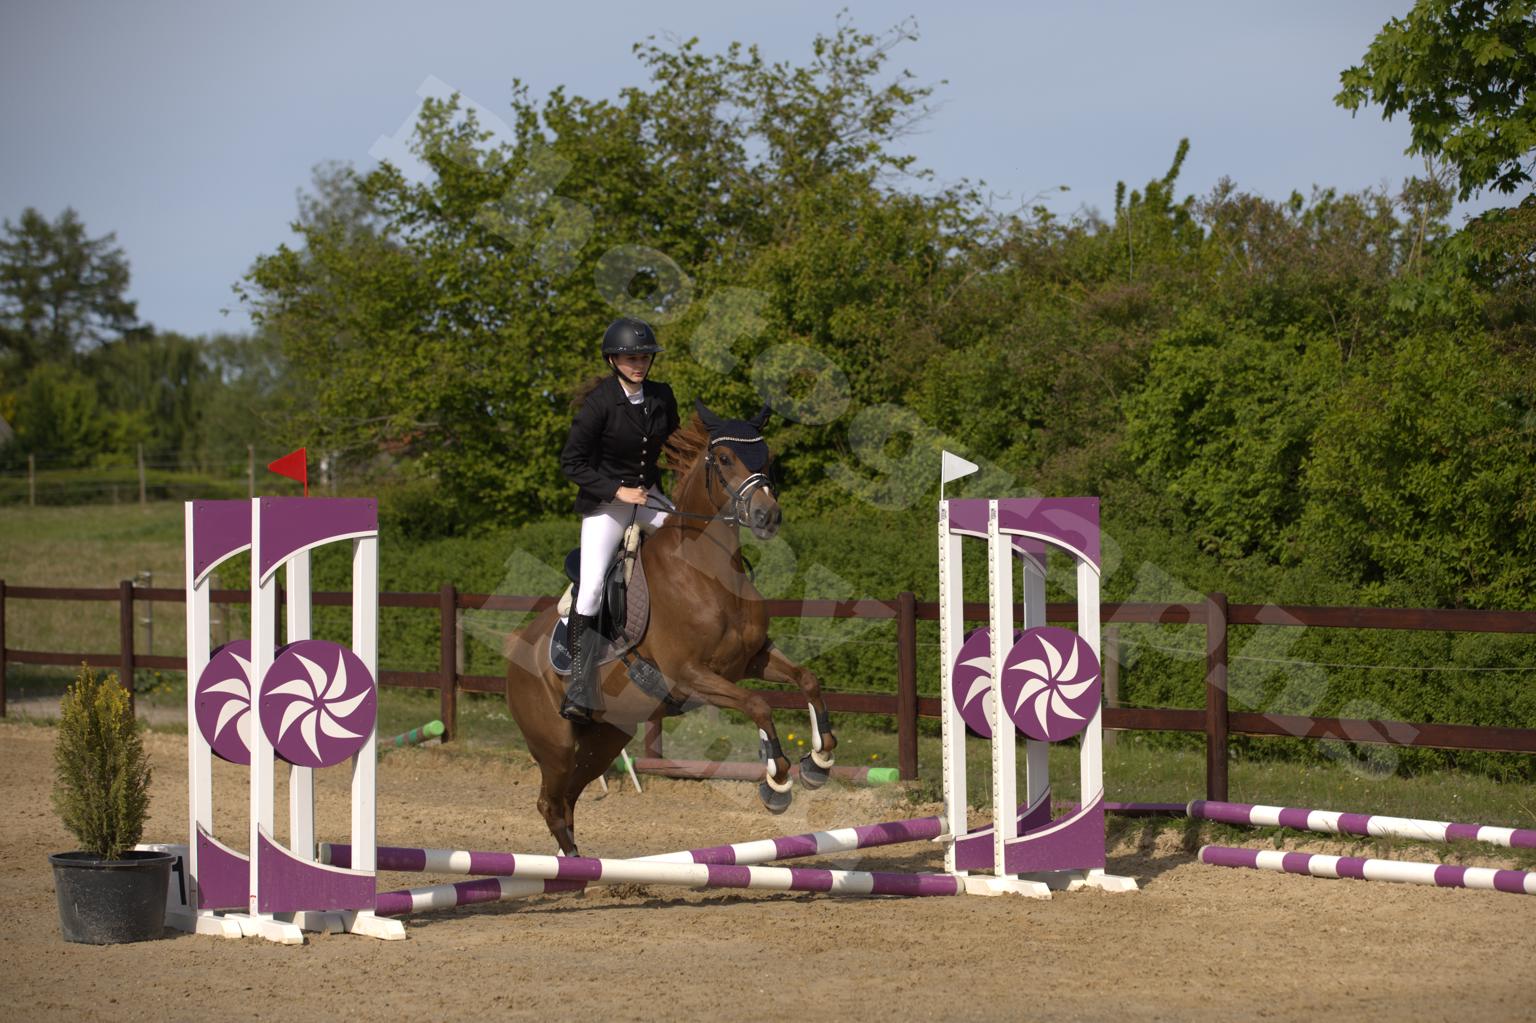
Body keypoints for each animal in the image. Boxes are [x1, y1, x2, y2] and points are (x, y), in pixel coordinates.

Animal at [504, 402, 839, 856]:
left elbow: (806, 679)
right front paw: (777, 783)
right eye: (724, 458)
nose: (767, 516)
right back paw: (571, 863)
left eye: (767, 457)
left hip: (604, 739)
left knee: (569, 798)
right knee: (551, 803)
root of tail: (515, 649)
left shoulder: (750, 659)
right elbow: (758, 705)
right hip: (555, 745)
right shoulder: (691, 676)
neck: (708, 574)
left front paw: (819, 762)